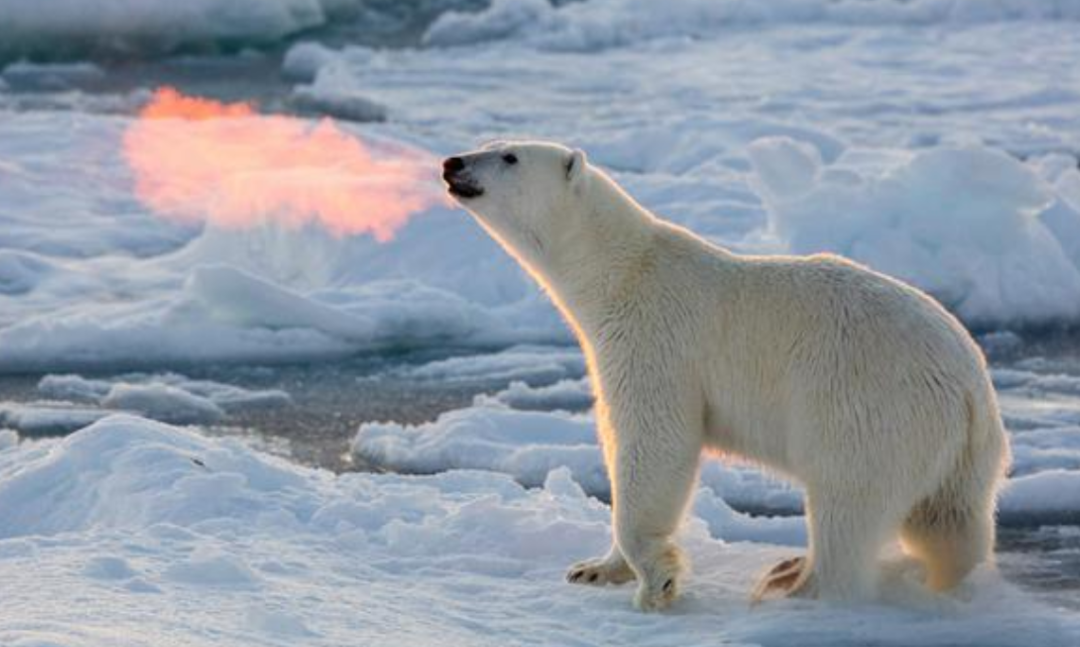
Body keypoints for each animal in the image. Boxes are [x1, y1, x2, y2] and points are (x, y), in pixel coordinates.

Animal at [440, 140, 1010, 613]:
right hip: (960, 454)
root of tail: (969, 387)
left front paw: (657, 582)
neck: (621, 272)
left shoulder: (655, 339)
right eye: (491, 142)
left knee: (848, 502)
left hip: (869, 405)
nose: (452, 162)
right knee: (950, 522)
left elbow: (655, 442)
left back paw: (793, 585)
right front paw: (593, 569)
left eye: (509, 156)